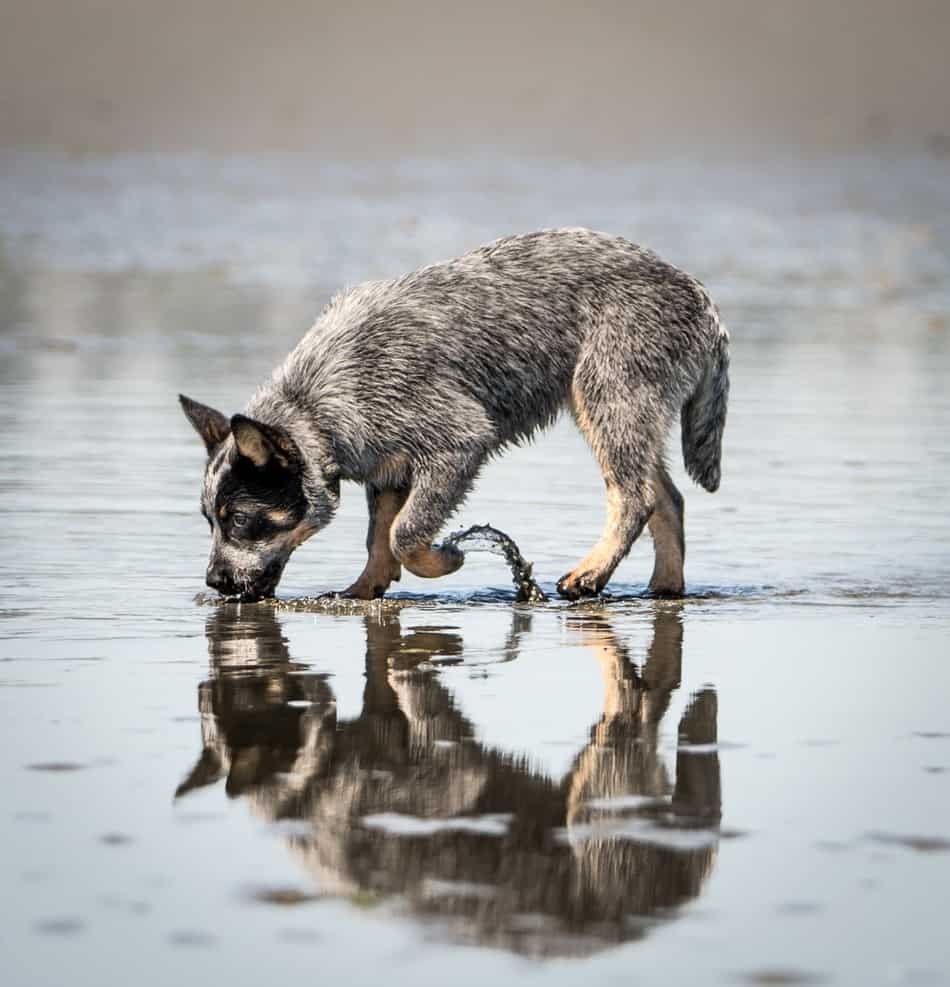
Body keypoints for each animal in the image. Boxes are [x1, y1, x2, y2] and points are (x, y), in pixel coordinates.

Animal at [182, 230, 732, 604]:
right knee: (668, 500)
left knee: (635, 498)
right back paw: (664, 589)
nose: (213, 581)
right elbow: (378, 536)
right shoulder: (386, 467)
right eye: (209, 520)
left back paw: (590, 574)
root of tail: (698, 294)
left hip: (607, 400)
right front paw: (364, 590)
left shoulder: (458, 443)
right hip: (627, 414)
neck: (318, 401)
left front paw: (444, 560)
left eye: (239, 520)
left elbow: (405, 534)